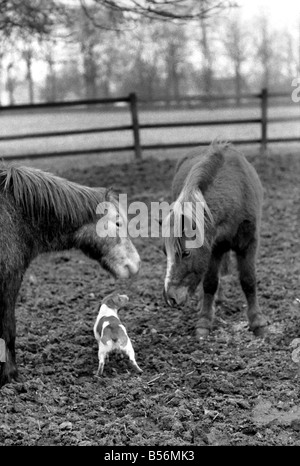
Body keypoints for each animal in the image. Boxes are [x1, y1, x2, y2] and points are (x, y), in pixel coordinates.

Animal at [0, 164, 141, 386]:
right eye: (118, 223)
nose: (135, 264)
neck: (16, 217)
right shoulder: (9, 282)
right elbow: (8, 328)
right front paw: (11, 374)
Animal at [163, 142, 266, 338]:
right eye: (166, 253)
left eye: (186, 253)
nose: (170, 297)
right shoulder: (213, 249)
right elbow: (210, 283)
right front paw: (204, 321)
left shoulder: (249, 245)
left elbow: (248, 281)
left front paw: (258, 322)